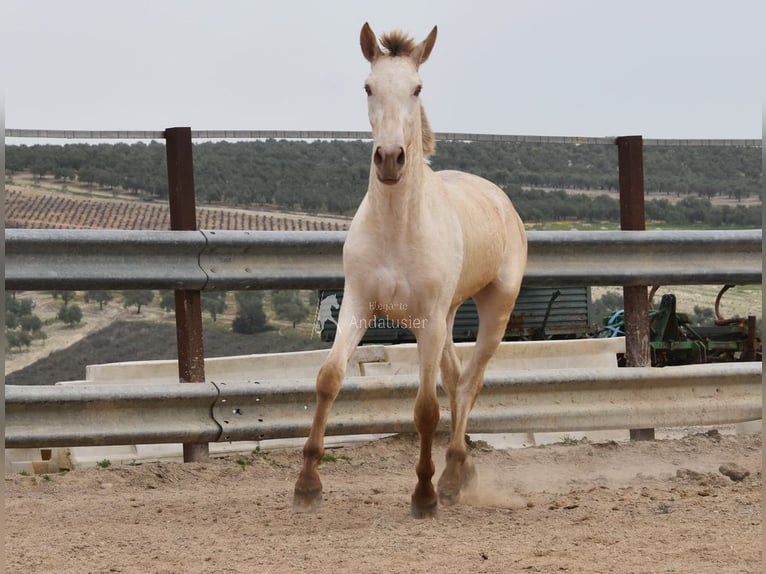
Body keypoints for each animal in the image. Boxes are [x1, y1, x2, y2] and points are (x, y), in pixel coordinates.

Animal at [293, 22, 527, 518]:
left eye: (417, 88)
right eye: (368, 86)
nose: (389, 158)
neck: (397, 229)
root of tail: (501, 200)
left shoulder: (427, 321)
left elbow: (425, 410)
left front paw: (424, 494)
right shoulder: (358, 305)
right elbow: (328, 378)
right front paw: (306, 484)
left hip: (493, 309)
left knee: (469, 384)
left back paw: (453, 476)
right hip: (449, 316)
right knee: (456, 379)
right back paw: (462, 469)